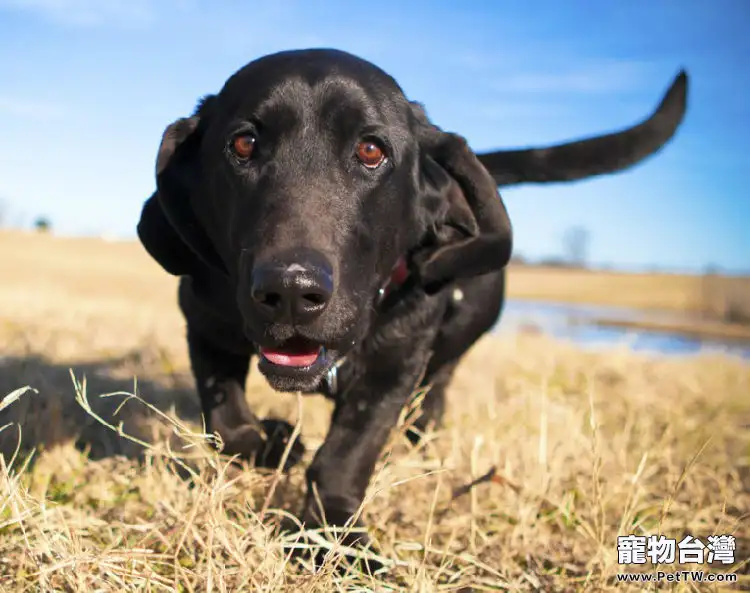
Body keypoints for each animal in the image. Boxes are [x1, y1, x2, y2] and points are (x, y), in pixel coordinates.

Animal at [138, 51, 692, 556]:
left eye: (370, 150)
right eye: (243, 143)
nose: (291, 291)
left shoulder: (395, 368)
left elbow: (345, 456)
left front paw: (336, 535)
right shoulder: (206, 325)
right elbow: (227, 420)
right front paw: (273, 443)